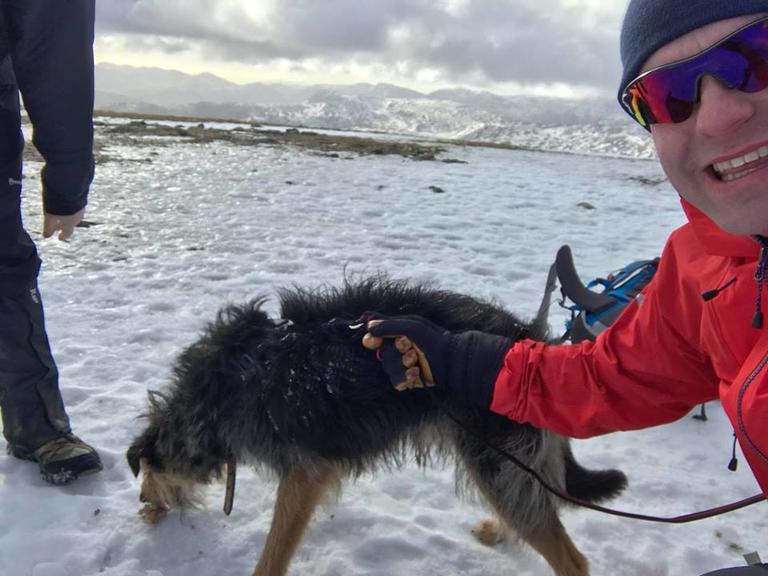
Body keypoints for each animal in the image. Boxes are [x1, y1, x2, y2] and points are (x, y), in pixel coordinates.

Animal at [127, 276, 632, 572]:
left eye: (146, 473)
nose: (143, 504)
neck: (221, 390)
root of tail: (532, 342)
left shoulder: (304, 470)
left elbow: (274, 550)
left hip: (494, 457)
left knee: (570, 557)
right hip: (505, 463)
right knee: (533, 504)